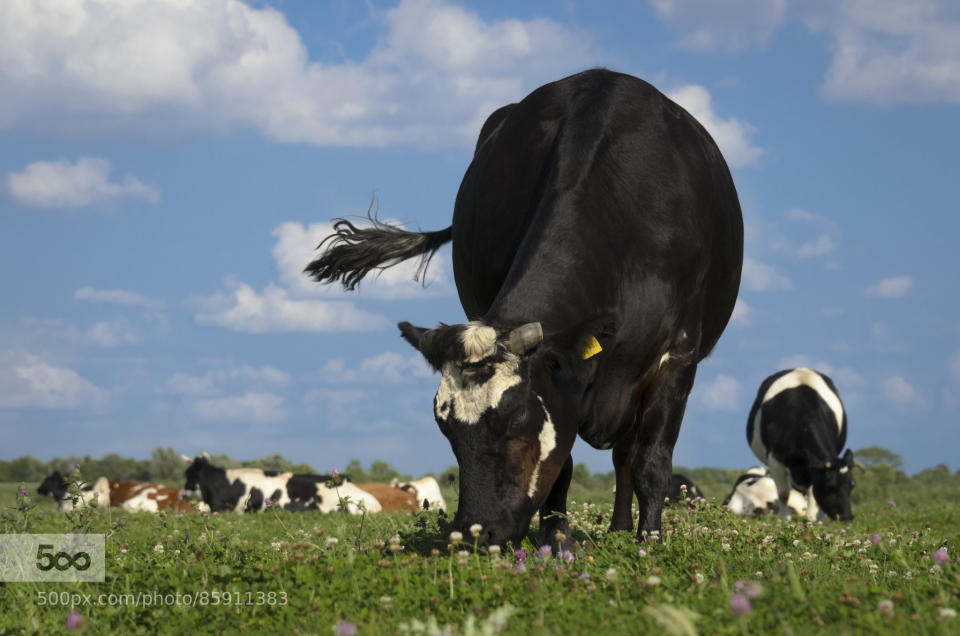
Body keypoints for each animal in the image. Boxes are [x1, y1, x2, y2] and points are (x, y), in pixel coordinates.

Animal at [306, 69, 744, 548]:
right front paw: (558, 541)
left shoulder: (678, 355)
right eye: (445, 428)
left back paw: (623, 530)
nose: (476, 532)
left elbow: (652, 462)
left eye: (517, 419)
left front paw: (650, 542)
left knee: (629, 454)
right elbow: (562, 466)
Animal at [748, 368, 860, 520]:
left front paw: (811, 519)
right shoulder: (775, 460)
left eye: (852, 485)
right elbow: (783, 494)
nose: (846, 516)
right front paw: (784, 520)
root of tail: (801, 369)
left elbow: (813, 495)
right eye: (829, 486)